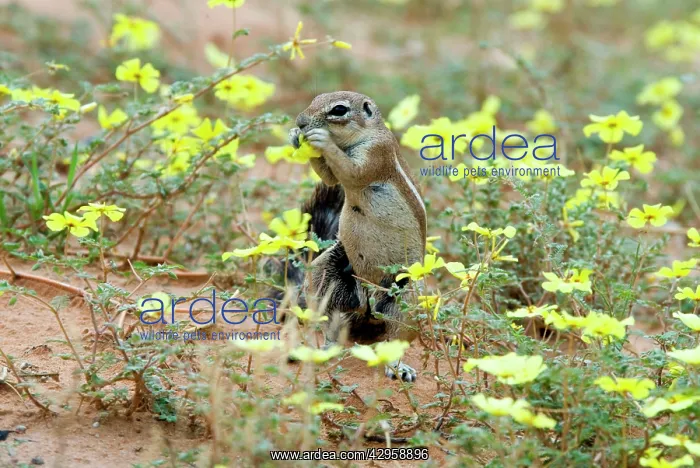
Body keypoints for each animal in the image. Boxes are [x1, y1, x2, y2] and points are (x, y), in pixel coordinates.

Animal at [280, 91, 427, 382]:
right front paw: (293, 135)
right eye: (315, 98)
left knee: (396, 335)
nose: (301, 121)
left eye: (339, 110)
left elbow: (353, 170)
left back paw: (399, 368)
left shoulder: (376, 153)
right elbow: (330, 177)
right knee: (333, 318)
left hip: (408, 292)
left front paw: (321, 139)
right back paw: (322, 350)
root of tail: (368, 303)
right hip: (329, 268)